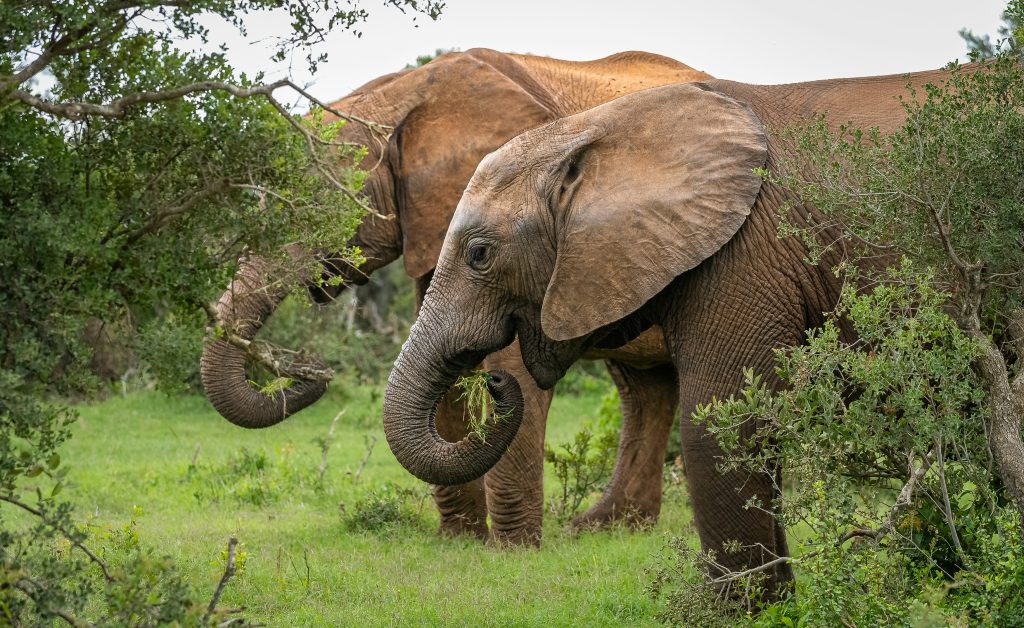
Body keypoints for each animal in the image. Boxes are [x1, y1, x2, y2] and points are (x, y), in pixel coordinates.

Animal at [200, 49, 712, 545]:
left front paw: (512, 550)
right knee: (645, 388)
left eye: (325, 203)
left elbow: (508, 363)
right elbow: (444, 362)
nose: (313, 368)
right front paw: (459, 541)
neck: (402, 96)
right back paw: (607, 527)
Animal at [379, 65, 965, 594]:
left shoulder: (742, 252)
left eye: (480, 254)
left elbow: (723, 426)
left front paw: (743, 613)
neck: (597, 129)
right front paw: (776, 604)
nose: (497, 382)